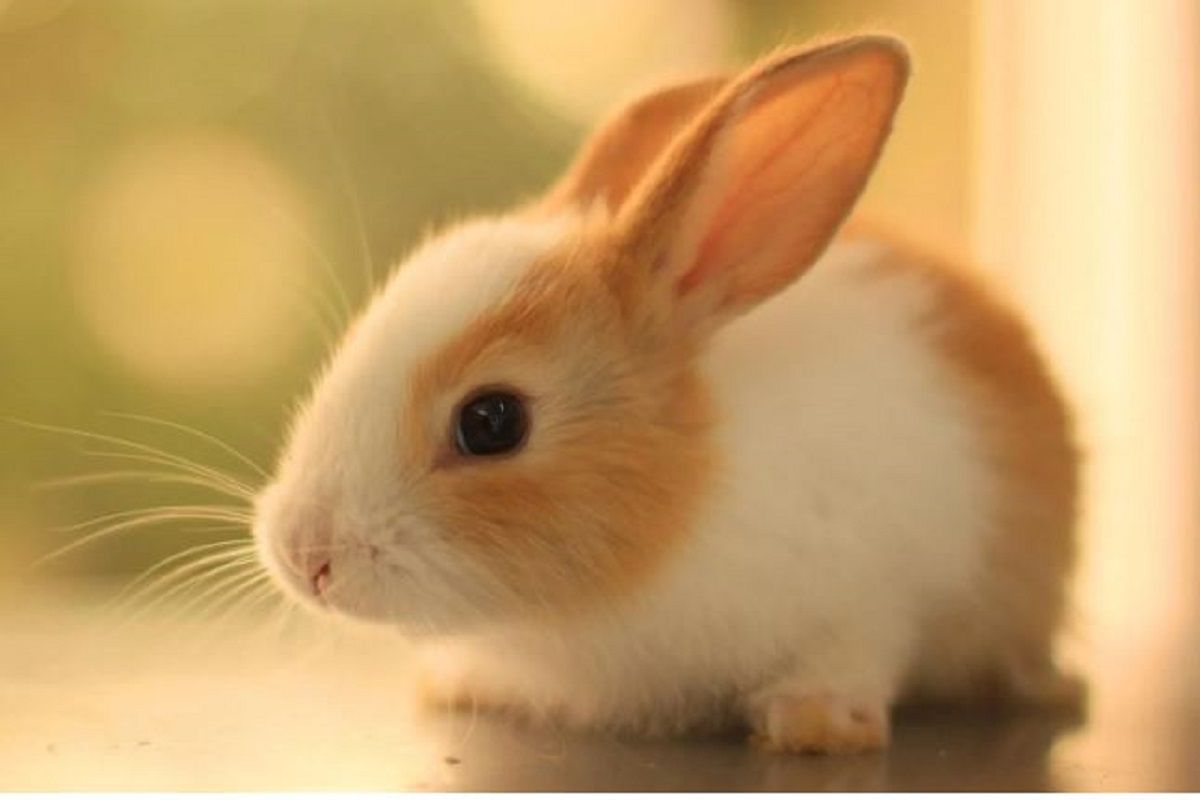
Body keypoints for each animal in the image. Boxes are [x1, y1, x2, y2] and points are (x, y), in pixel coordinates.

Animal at [251, 35, 1082, 754]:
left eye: (491, 421)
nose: (306, 555)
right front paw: (461, 684)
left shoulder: (876, 590)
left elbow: (854, 650)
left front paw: (815, 723)